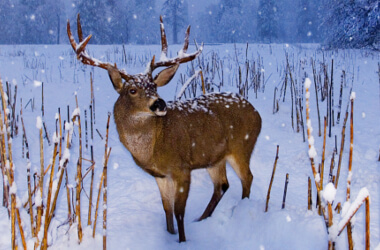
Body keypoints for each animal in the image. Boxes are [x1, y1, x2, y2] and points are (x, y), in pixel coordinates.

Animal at [67, 13, 262, 242]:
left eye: (154, 86)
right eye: (132, 90)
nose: (159, 103)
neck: (153, 148)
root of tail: (257, 113)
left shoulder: (182, 167)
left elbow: (179, 211)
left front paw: (182, 241)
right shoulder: (160, 175)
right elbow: (167, 208)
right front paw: (170, 234)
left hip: (242, 146)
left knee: (247, 178)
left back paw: (241, 211)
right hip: (215, 157)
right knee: (222, 185)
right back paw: (201, 219)